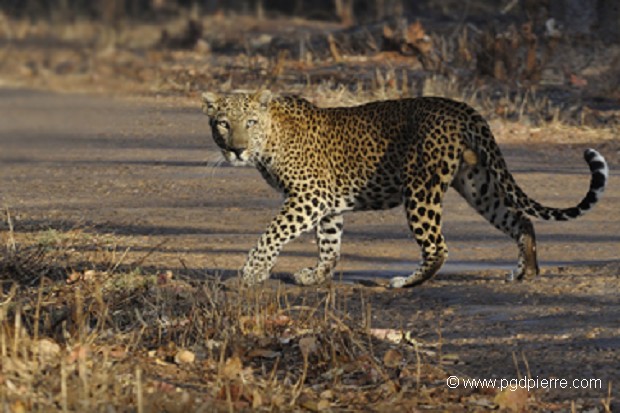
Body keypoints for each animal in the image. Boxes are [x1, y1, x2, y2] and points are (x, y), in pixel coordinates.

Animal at [201, 90, 608, 288]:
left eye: (250, 122)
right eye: (223, 123)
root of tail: (462, 109)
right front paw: (316, 275)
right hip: (478, 183)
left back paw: (405, 282)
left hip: (421, 189)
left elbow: (272, 233)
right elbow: (329, 244)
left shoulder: (308, 196)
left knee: (438, 247)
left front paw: (251, 272)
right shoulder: (326, 203)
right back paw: (527, 273)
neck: (270, 139)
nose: (236, 149)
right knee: (521, 220)